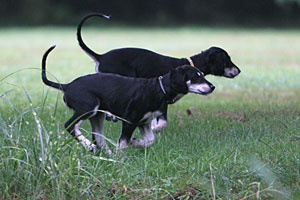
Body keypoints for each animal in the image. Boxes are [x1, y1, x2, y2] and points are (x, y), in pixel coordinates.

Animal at [42, 45, 216, 153]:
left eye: (202, 74)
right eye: (196, 76)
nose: (213, 87)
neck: (159, 88)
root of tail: (67, 86)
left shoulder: (144, 122)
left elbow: (149, 140)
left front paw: (135, 142)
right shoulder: (130, 121)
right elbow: (123, 143)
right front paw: (122, 157)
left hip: (97, 116)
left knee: (98, 138)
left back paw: (105, 153)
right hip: (88, 108)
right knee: (70, 125)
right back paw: (90, 146)